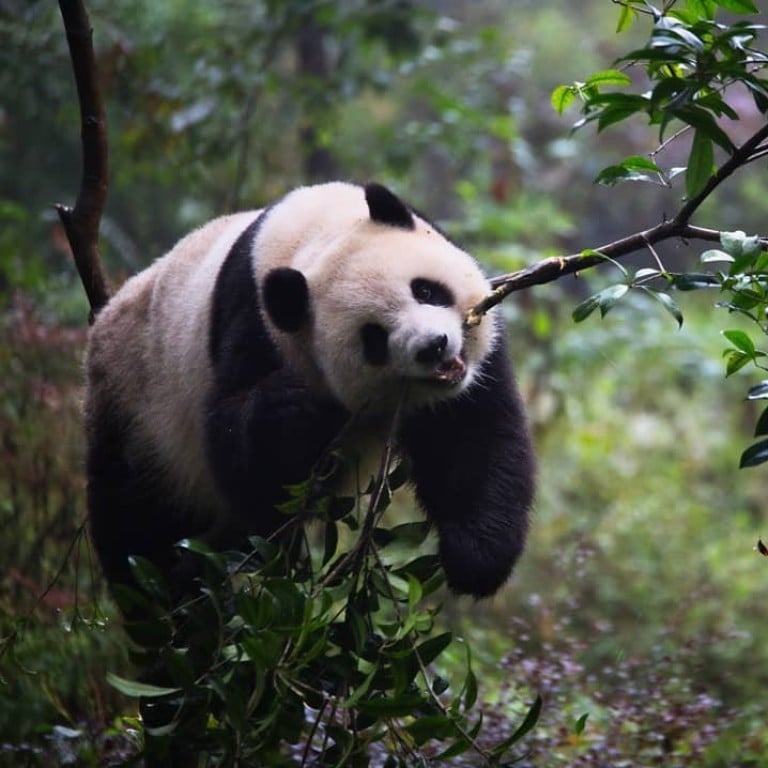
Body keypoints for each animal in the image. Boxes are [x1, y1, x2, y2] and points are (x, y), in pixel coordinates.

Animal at [85, 181, 534, 601]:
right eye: (374, 338)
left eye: (425, 290)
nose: (433, 347)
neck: (309, 241)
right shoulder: (254, 326)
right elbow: (246, 473)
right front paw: (290, 406)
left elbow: (473, 438)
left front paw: (473, 558)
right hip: (136, 413)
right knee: (135, 528)